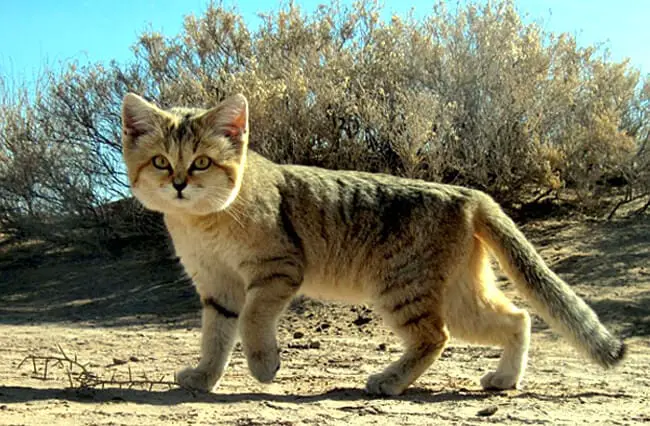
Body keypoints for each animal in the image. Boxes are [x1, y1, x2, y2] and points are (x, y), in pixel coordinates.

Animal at [119, 92, 620, 396]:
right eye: (161, 162)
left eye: (202, 162)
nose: (179, 184)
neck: (202, 221)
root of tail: (470, 194)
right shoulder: (217, 288)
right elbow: (215, 337)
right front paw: (203, 378)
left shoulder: (276, 269)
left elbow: (251, 321)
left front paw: (264, 365)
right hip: (460, 297)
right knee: (517, 318)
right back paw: (503, 379)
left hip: (401, 290)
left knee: (435, 337)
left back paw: (390, 381)